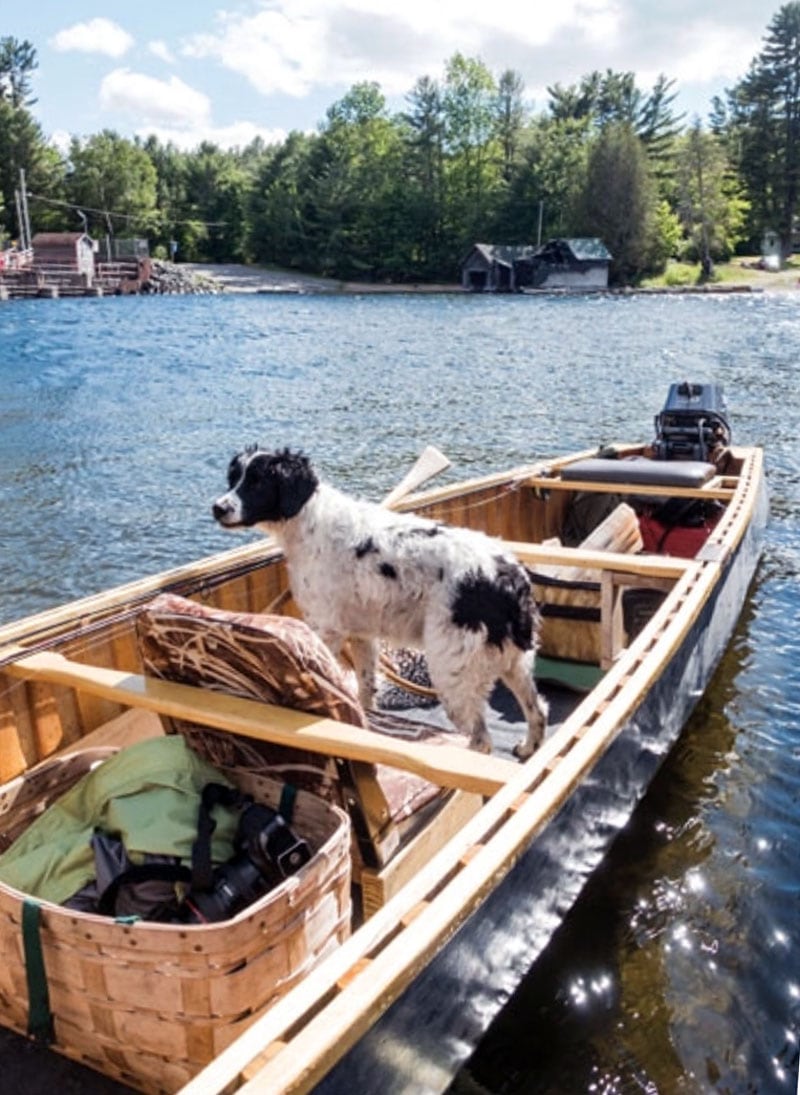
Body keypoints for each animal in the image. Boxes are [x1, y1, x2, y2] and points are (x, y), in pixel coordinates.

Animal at [212, 448, 551, 757]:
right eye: (233, 478)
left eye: (257, 482)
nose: (217, 507)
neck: (310, 522)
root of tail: (508, 574)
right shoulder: (361, 634)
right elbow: (365, 689)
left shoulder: (326, 630)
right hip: (514, 663)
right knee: (538, 710)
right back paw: (527, 748)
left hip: (451, 668)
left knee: (482, 741)